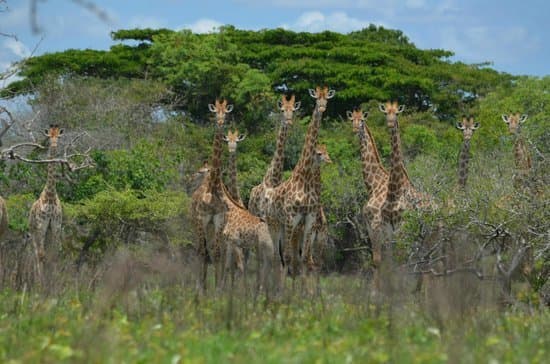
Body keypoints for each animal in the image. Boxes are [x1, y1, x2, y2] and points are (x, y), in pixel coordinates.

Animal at [264, 86, 336, 280]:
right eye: (316, 97)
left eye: (327, 98)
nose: (322, 108)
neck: (304, 178)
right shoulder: (292, 218)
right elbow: (290, 257)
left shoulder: (308, 219)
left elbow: (304, 259)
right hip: (274, 223)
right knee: (276, 256)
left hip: (285, 227)